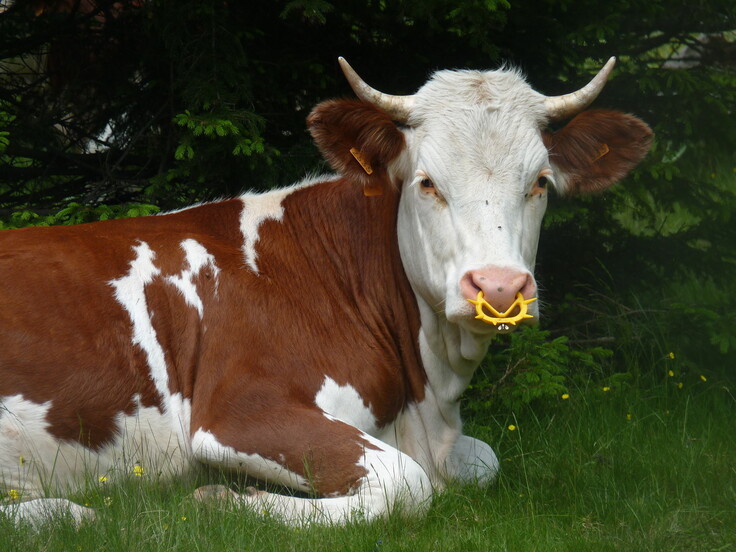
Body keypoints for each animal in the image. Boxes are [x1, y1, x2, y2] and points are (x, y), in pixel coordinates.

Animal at [1, 57, 656, 528]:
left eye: (540, 181)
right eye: (427, 183)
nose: (499, 287)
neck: (427, 396)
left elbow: (484, 461)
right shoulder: (238, 411)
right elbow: (405, 484)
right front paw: (221, 498)